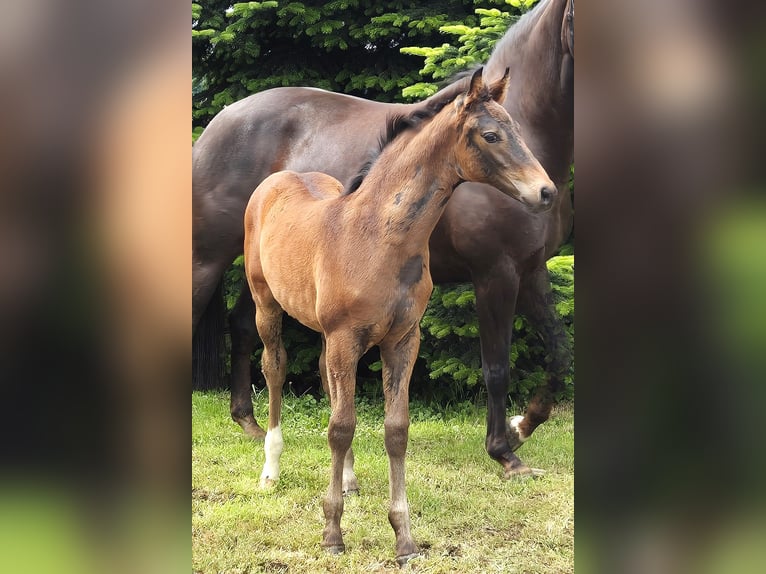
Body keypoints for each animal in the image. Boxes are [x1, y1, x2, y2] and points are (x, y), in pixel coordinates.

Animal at [194, 0, 576, 482]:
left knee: (246, 328)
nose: (543, 193)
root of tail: (219, 119)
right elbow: (496, 367)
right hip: (206, 257)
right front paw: (504, 452)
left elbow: (560, 353)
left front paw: (521, 426)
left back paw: (249, 423)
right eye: (491, 136)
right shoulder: (495, 273)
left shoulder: (532, 268)